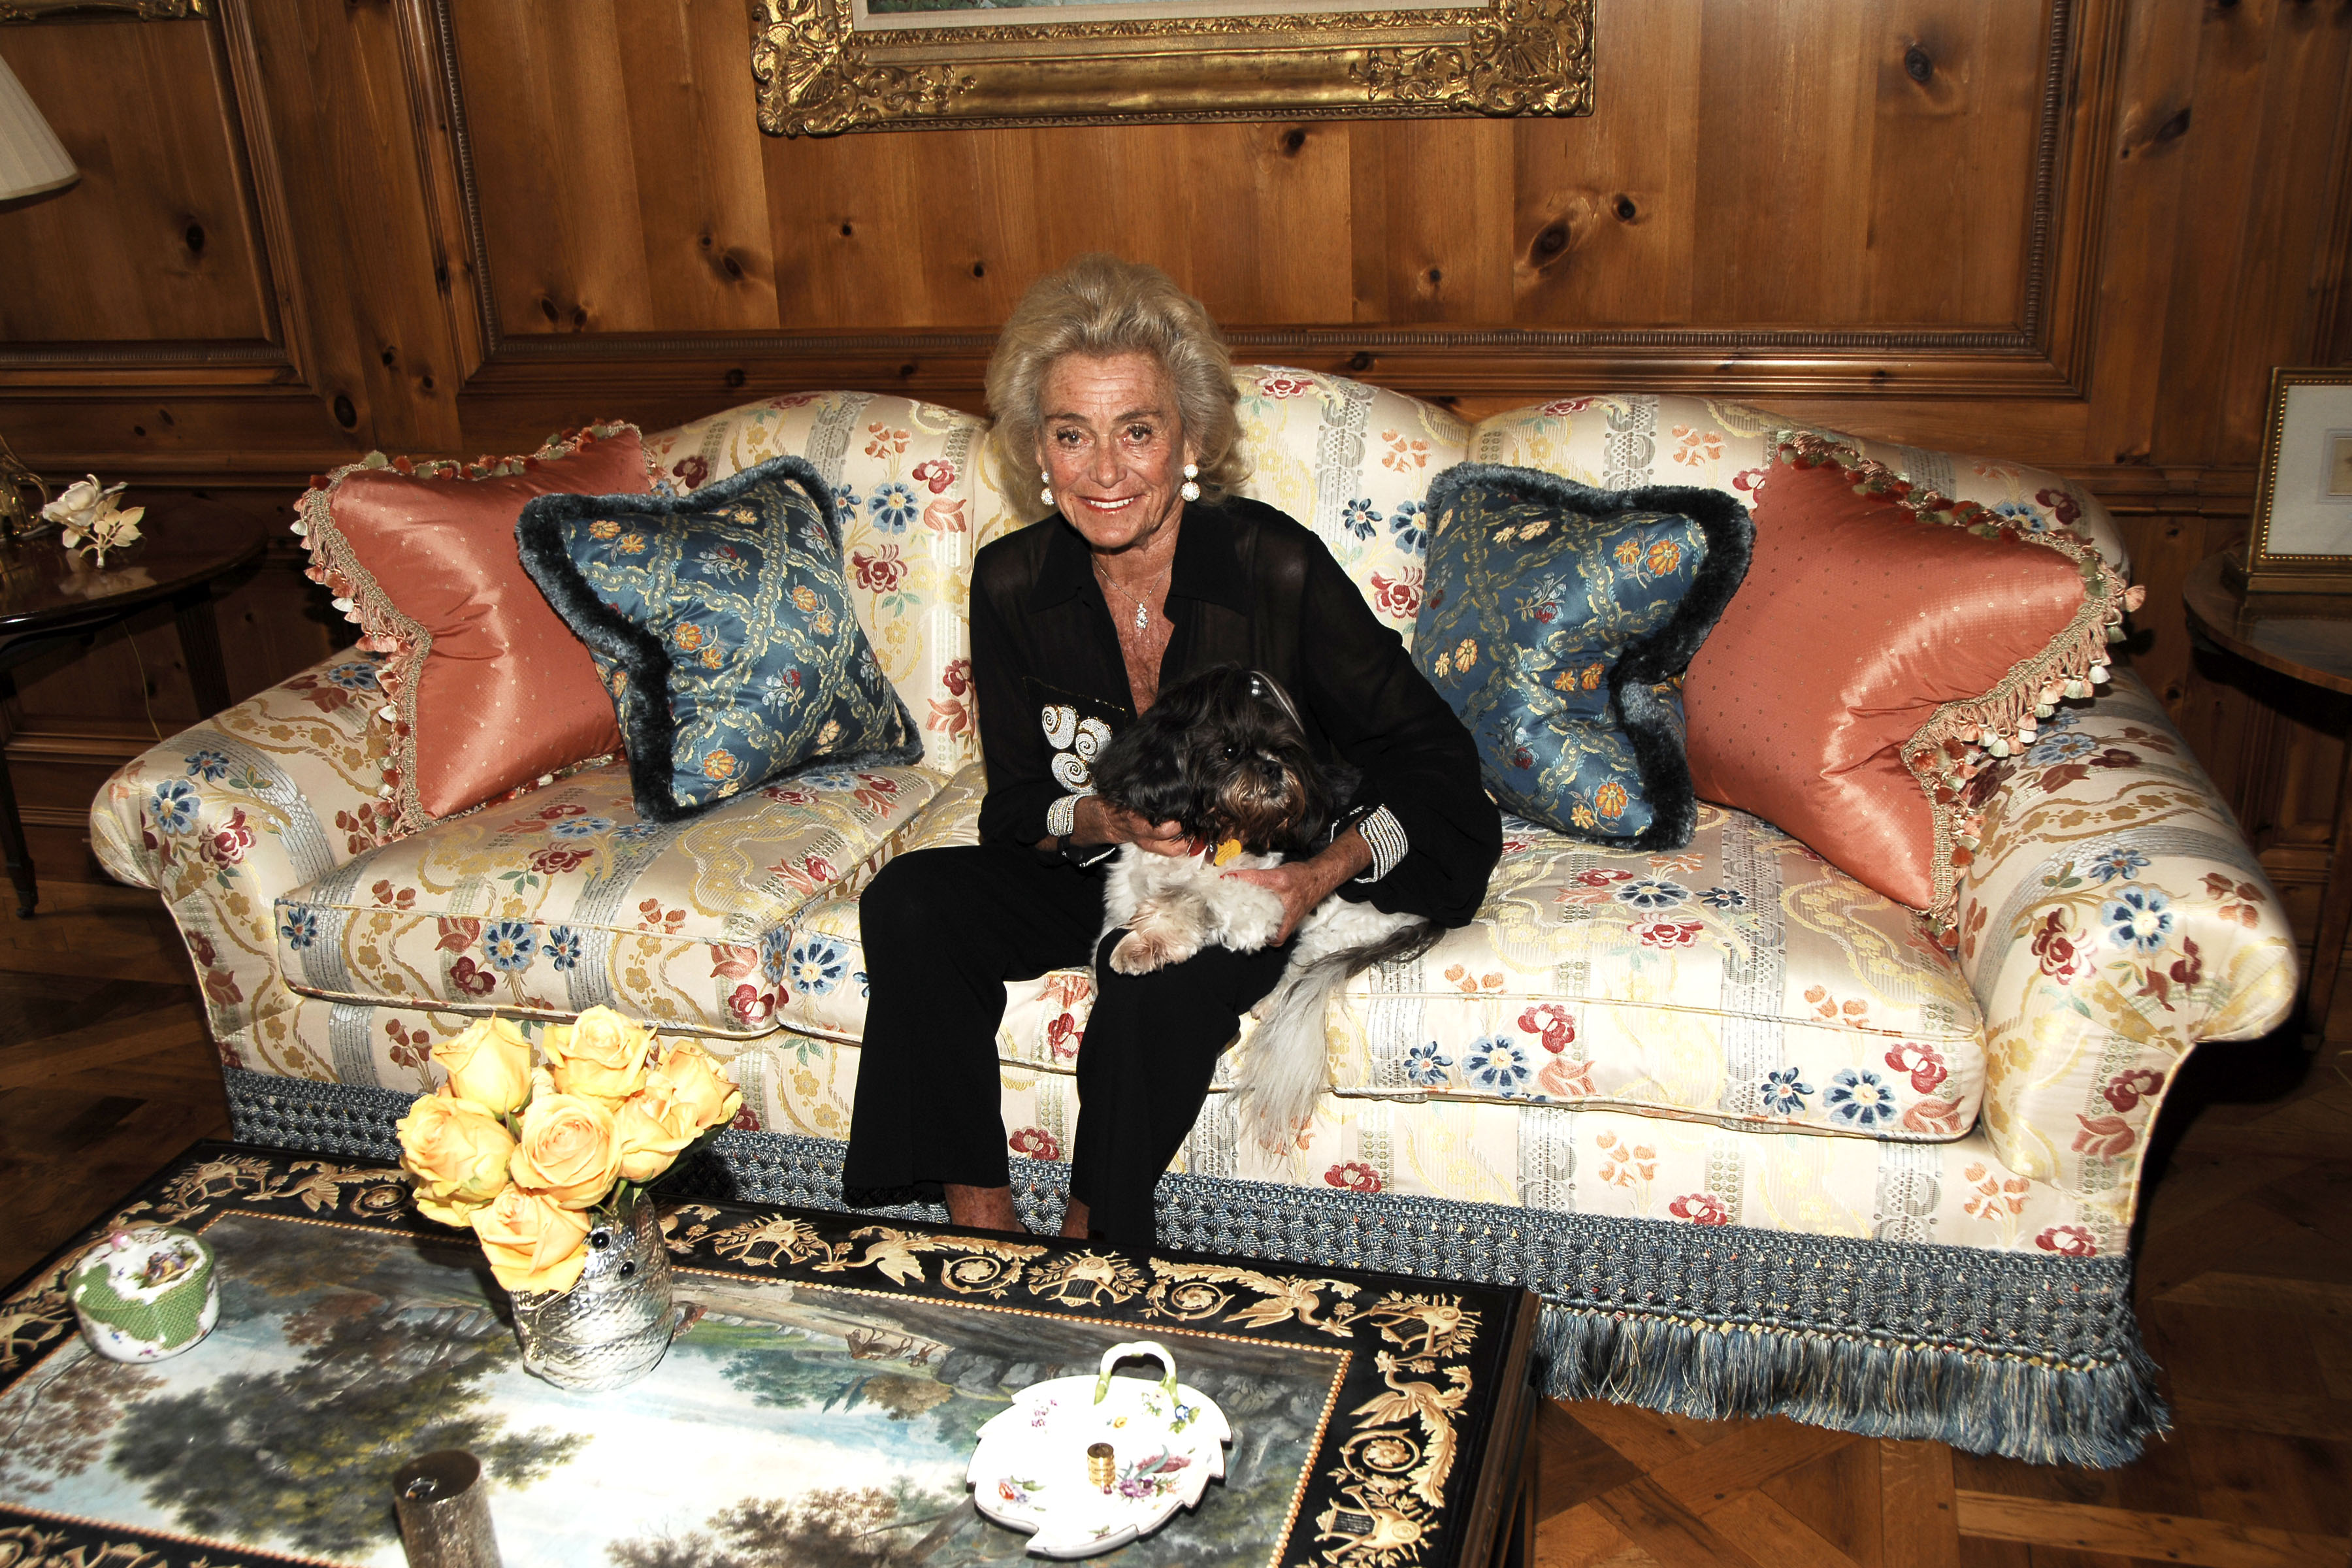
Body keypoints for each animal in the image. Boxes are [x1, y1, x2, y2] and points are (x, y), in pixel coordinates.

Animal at [1082, 667, 1429, 1152]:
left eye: (1281, 750)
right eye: (1229, 750)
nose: (1271, 767)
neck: (1208, 835)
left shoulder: (1259, 902)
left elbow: (1193, 900)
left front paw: (1147, 943)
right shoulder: (1122, 896)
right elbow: (1109, 936)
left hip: (1339, 926)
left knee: (1300, 969)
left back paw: (1271, 1002)